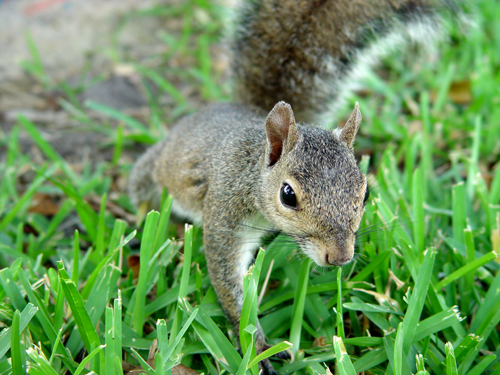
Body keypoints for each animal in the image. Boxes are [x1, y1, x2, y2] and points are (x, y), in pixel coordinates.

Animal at [129, 1, 460, 374]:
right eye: (288, 195)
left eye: (366, 194)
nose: (340, 257)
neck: (251, 171)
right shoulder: (224, 213)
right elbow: (228, 282)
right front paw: (257, 347)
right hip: (153, 170)